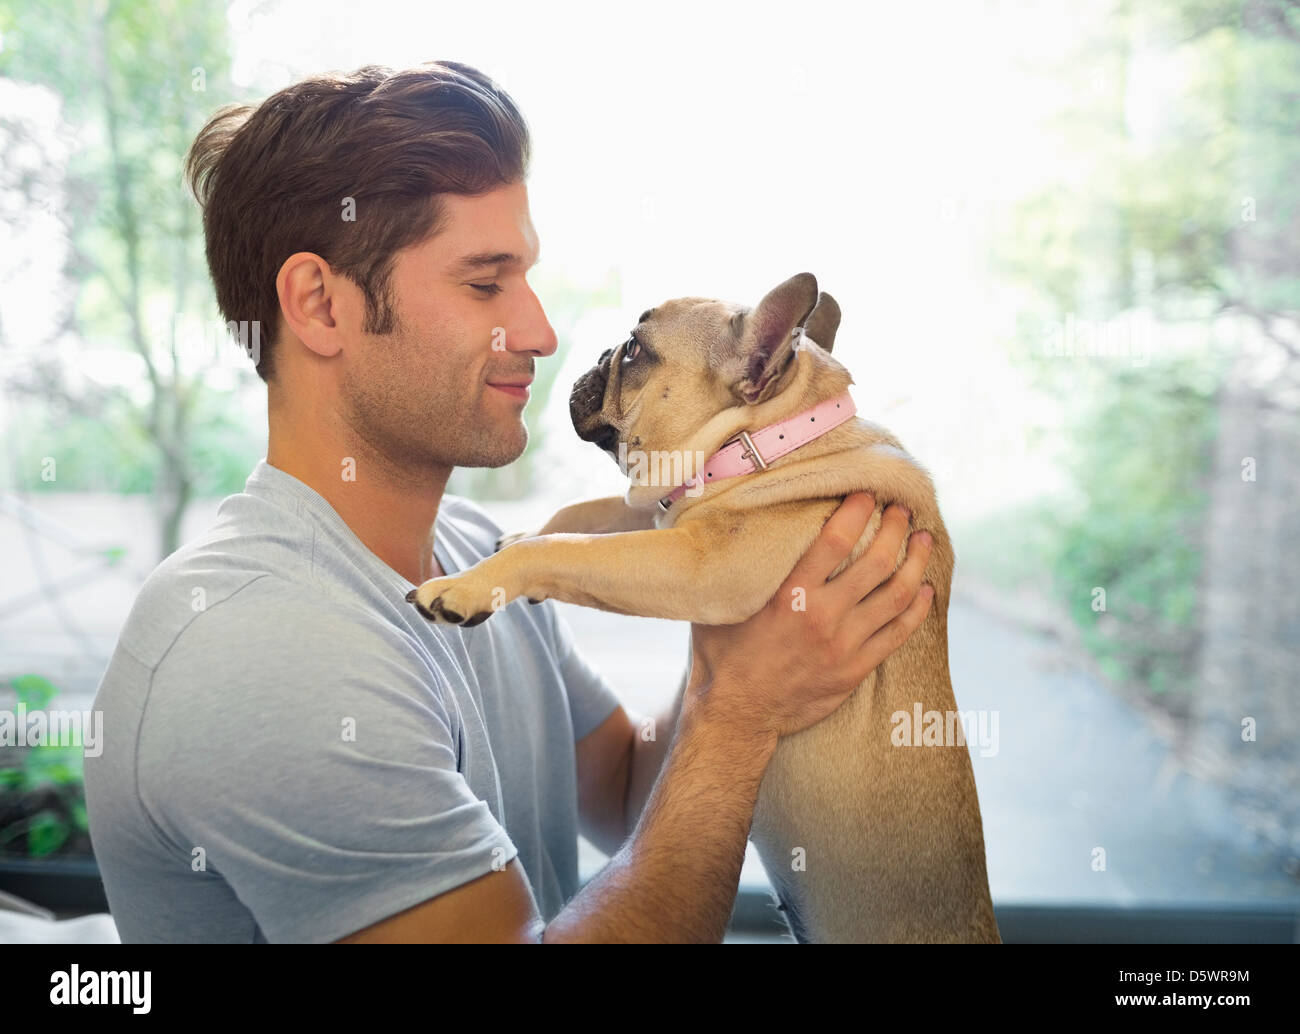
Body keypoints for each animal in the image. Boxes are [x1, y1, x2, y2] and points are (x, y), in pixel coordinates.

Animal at [410, 274, 998, 946]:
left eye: (635, 349)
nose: (599, 354)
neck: (769, 439)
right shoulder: (662, 516)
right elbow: (583, 514)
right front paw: (518, 534)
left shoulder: (697, 565)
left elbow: (564, 548)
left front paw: (468, 584)